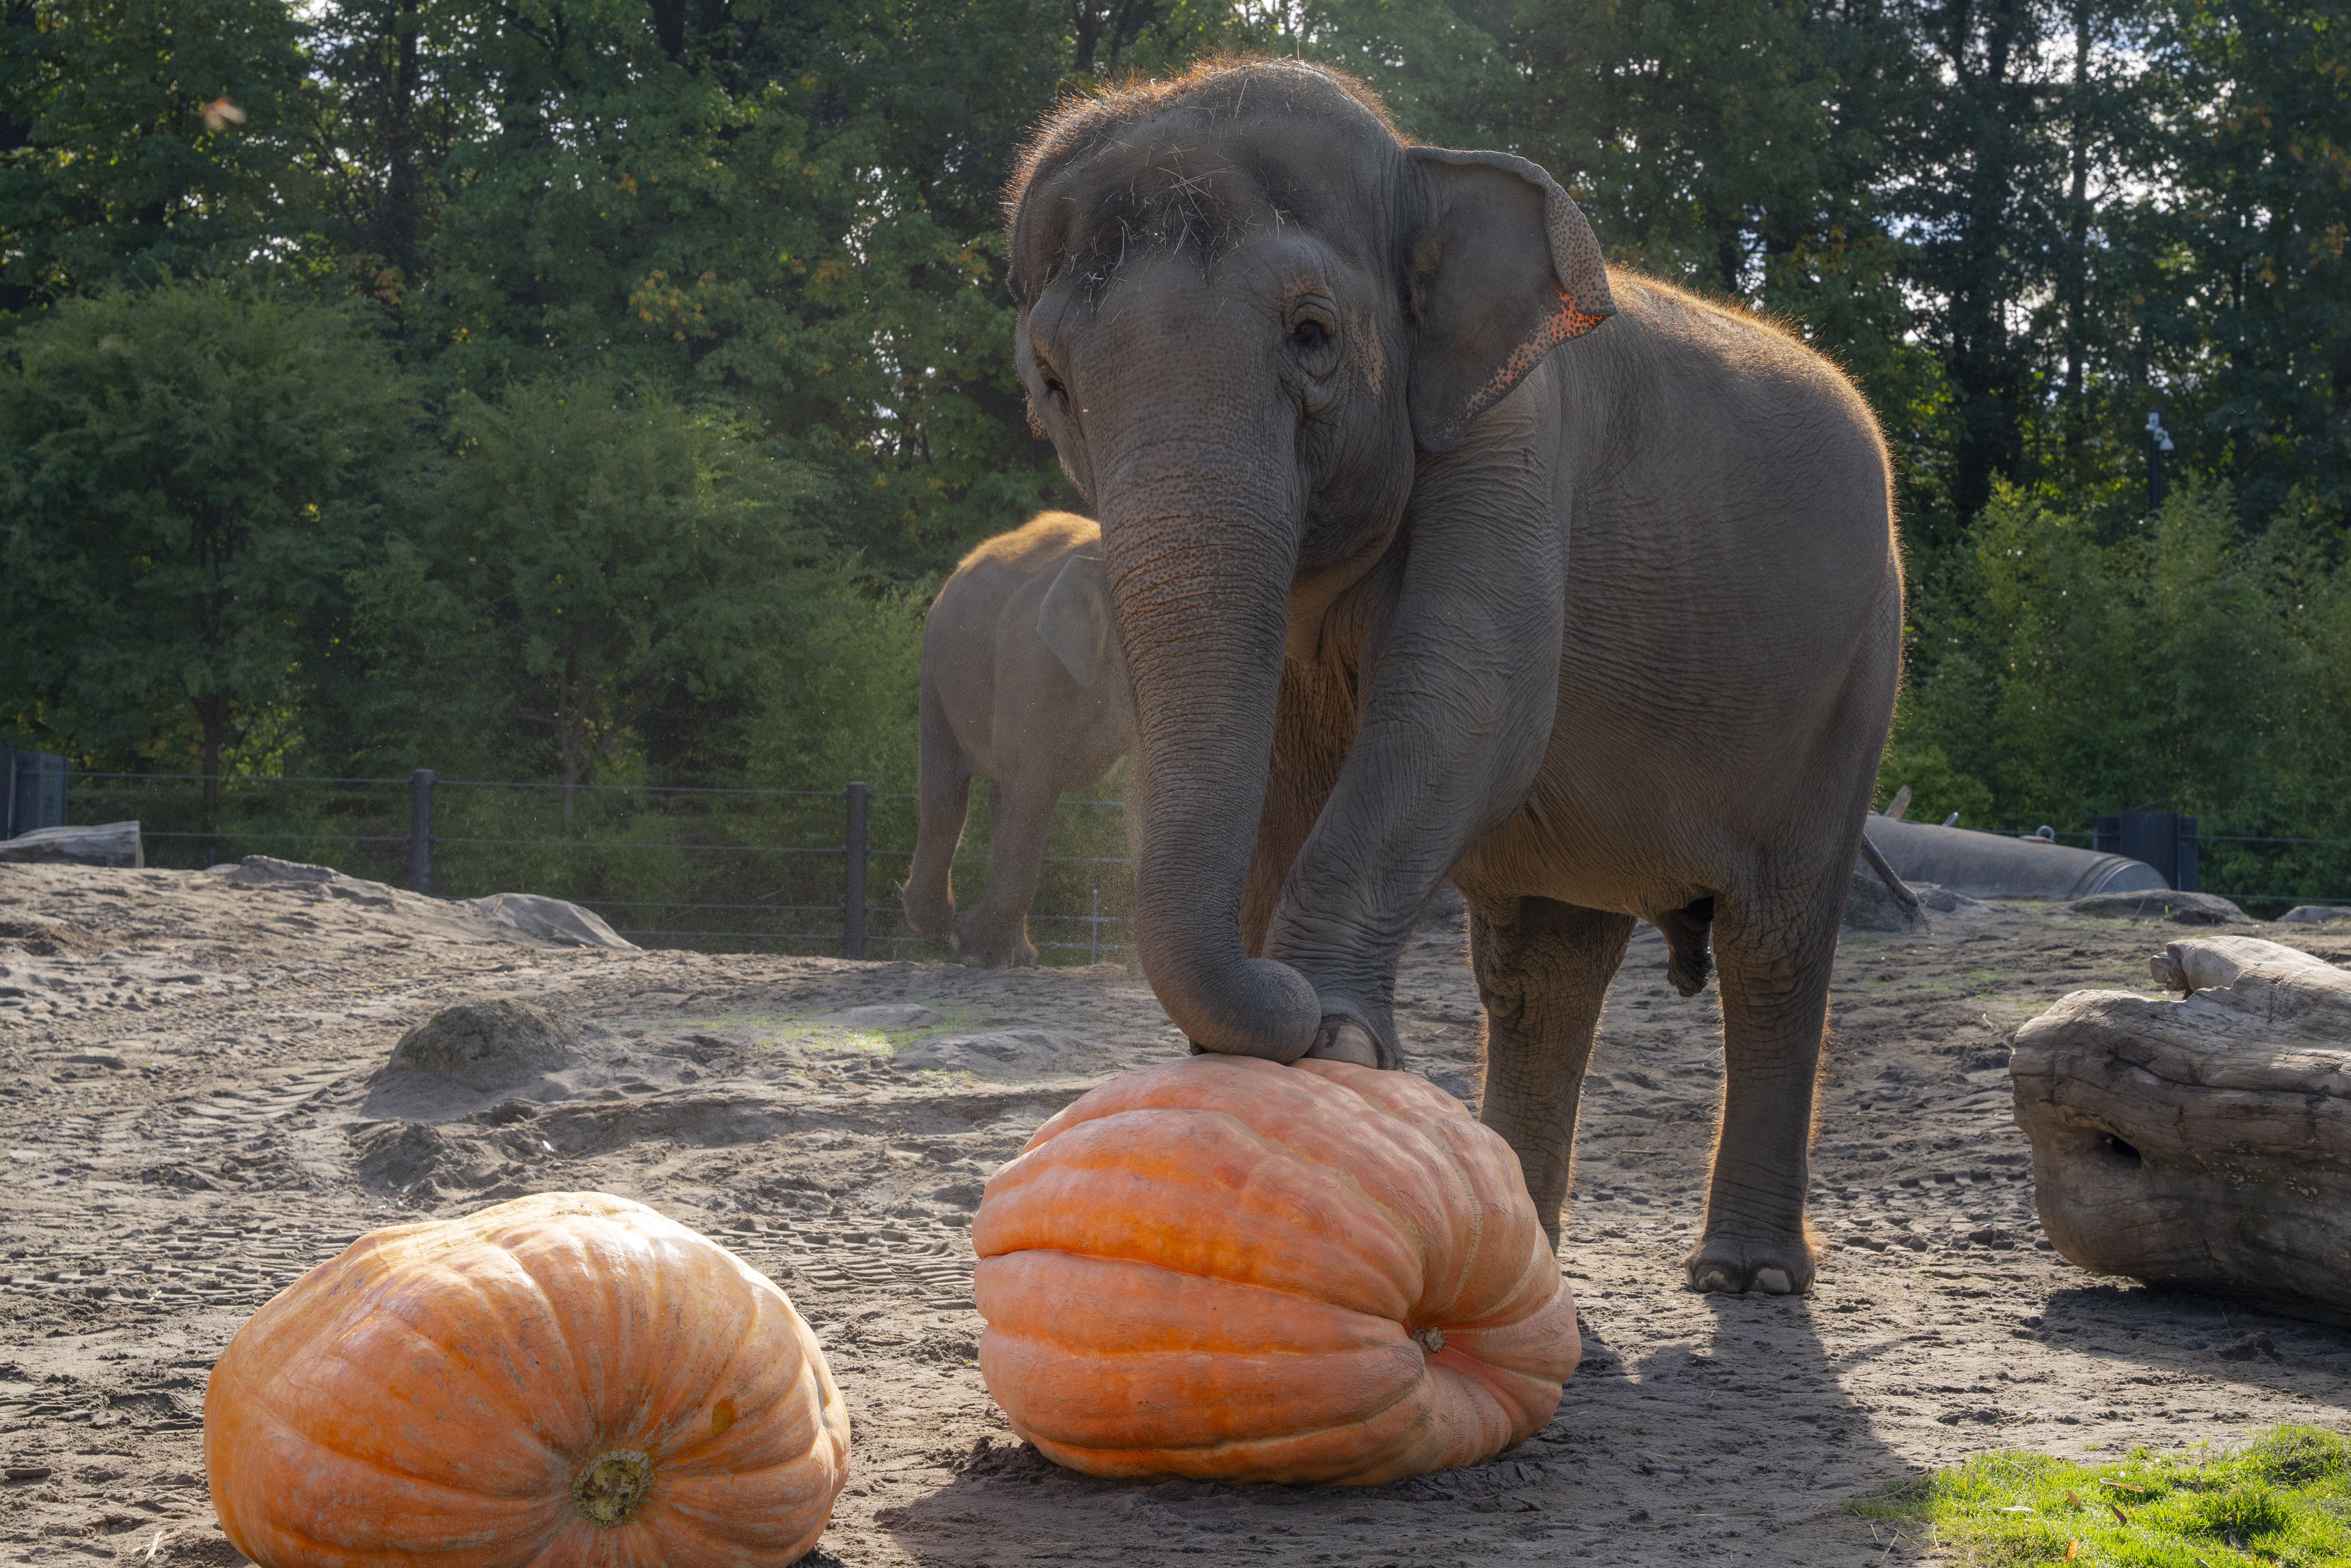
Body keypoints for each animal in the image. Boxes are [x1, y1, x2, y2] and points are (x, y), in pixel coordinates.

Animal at [903, 511, 1136, 967]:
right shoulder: (1033, 661)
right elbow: (1034, 785)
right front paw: (969, 947)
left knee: (997, 795)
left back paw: (1011, 956)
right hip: (937, 662)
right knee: (948, 789)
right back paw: (939, 930)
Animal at [1004, 60, 1903, 1296]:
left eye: (1313, 333)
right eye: (1050, 381)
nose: (1277, 1001)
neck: (1422, 164)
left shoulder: (1516, 437)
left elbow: (1470, 702)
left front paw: (1334, 1036)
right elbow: (1264, 761)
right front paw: (1263, 1049)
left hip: (1850, 680)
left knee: (1771, 945)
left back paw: (1746, 1275)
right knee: (1542, 966)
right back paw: (1532, 1251)